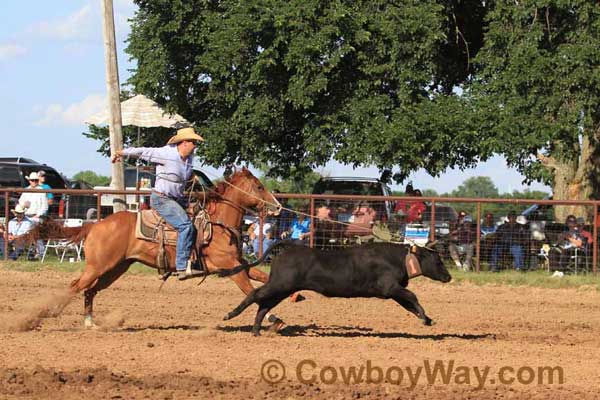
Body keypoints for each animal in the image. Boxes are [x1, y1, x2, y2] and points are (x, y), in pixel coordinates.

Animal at [65, 169, 282, 328]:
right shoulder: (230, 267)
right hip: (98, 266)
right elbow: (250, 291)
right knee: (75, 286)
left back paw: (90, 323)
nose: (278, 207)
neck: (219, 225)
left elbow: (263, 278)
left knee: (89, 290)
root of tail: (95, 225)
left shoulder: (239, 264)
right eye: (259, 186)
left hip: (115, 268)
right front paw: (274, 319)